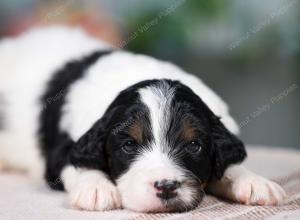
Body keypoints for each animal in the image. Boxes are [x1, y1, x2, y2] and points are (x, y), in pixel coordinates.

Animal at [0, 26, 286, 213]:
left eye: (194, 145)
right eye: (129, 145)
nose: (166, 187)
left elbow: (227, 166)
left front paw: (255, 182)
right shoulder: (61, 149)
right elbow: (76, 162)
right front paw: (97, 189)